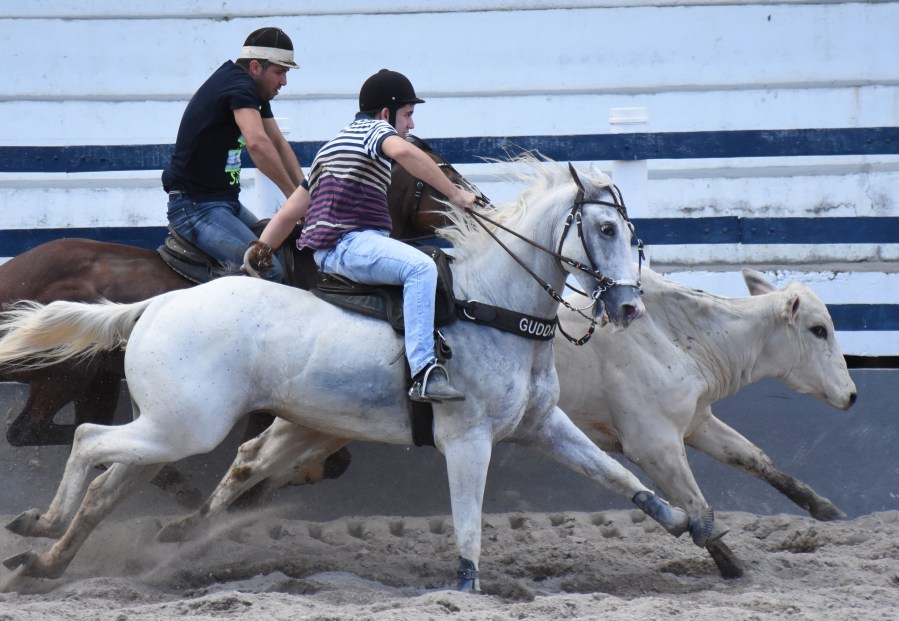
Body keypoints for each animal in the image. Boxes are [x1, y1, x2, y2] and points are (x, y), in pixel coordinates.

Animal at [0, 162, 716, 588]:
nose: (629, 307)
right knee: (87, 439)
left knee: (104, 485)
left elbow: (620, 476)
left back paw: (46, 557)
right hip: (181, 428)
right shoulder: (468, 441)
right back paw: (41, 525)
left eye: (633, 234)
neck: (492, 304)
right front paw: (466, 585)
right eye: (605, 228)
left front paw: (690, 524)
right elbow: (468, 524)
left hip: (168, 432)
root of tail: (155, 304)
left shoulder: (541, 425)